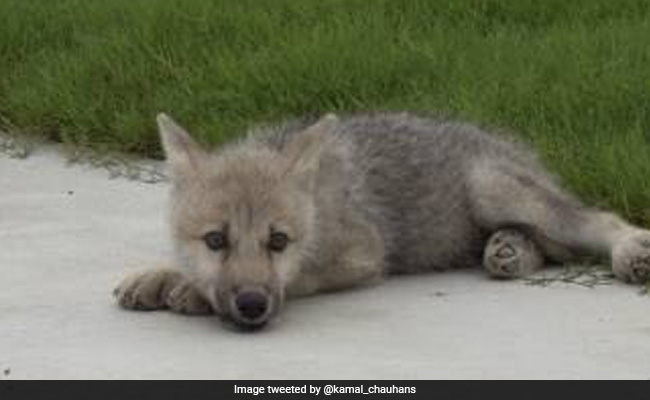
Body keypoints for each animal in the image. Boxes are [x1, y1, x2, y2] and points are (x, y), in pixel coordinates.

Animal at [114, 112, 650, 330]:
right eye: (215, 240)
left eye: (279, 242)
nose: (251, 306)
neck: (319, 206)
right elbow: (179, 261)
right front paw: (163, 275)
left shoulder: (363, 255)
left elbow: (302, 276)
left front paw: (189, 290)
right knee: (549, 248)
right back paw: (509, 251)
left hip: (494, 189)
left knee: (596, 221)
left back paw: (629, 251)